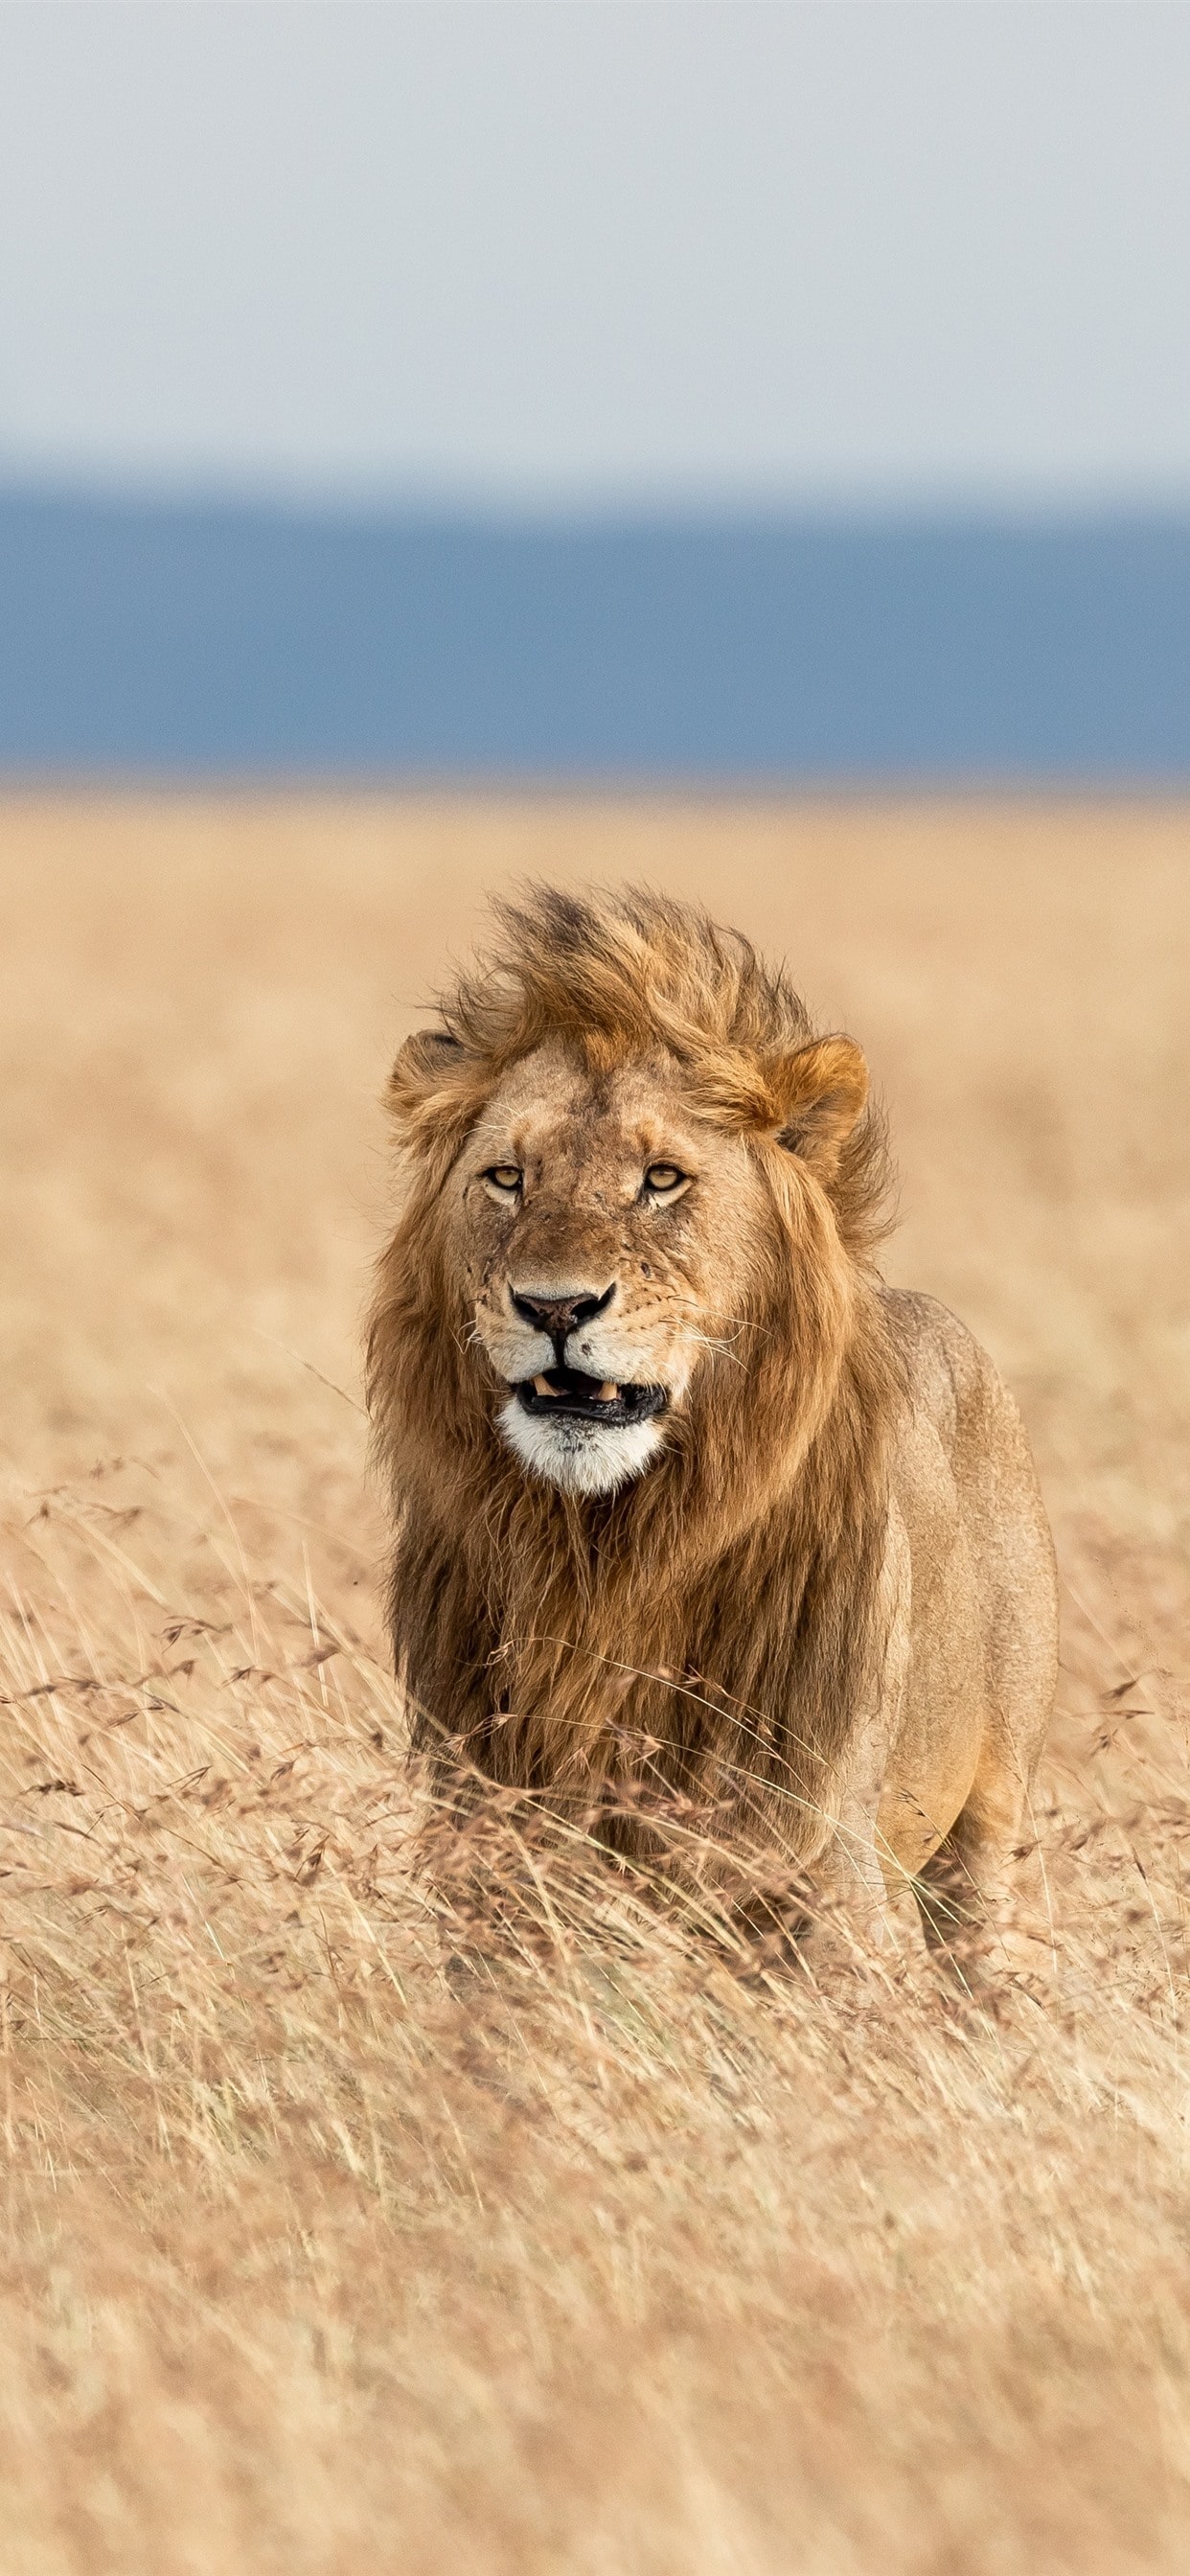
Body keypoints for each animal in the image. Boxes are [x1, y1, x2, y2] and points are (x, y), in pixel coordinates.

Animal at [366, 885, 1058, 1969]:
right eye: (508, 1178)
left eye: (662, 1179)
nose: (555, 1306)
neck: (605, 1554)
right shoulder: (494, 1850)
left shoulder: (817, 1856)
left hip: (991, 1824)